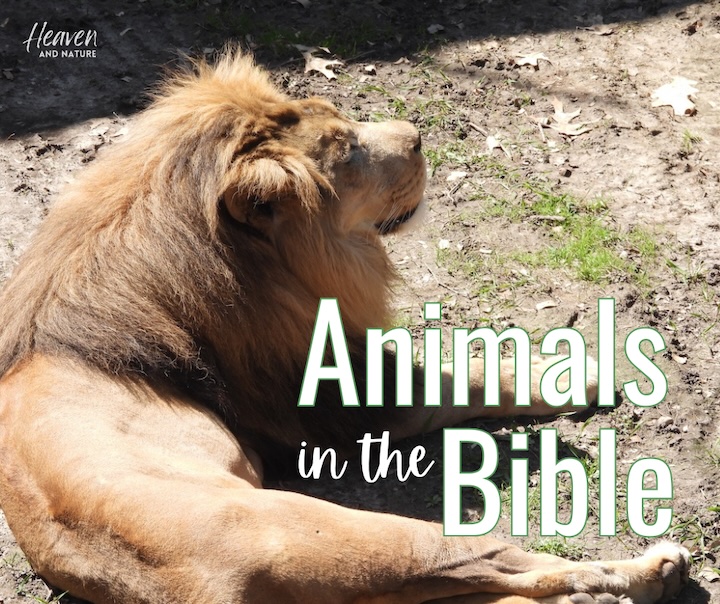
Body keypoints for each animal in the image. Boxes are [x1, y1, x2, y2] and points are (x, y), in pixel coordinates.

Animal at [0, 50, 689, 604]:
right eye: (348, 151)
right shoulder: (336, 400)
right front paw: (574, 372)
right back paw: (648, 571)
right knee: (509, 561)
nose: (417, 136)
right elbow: (459, 377)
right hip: (343, 533)